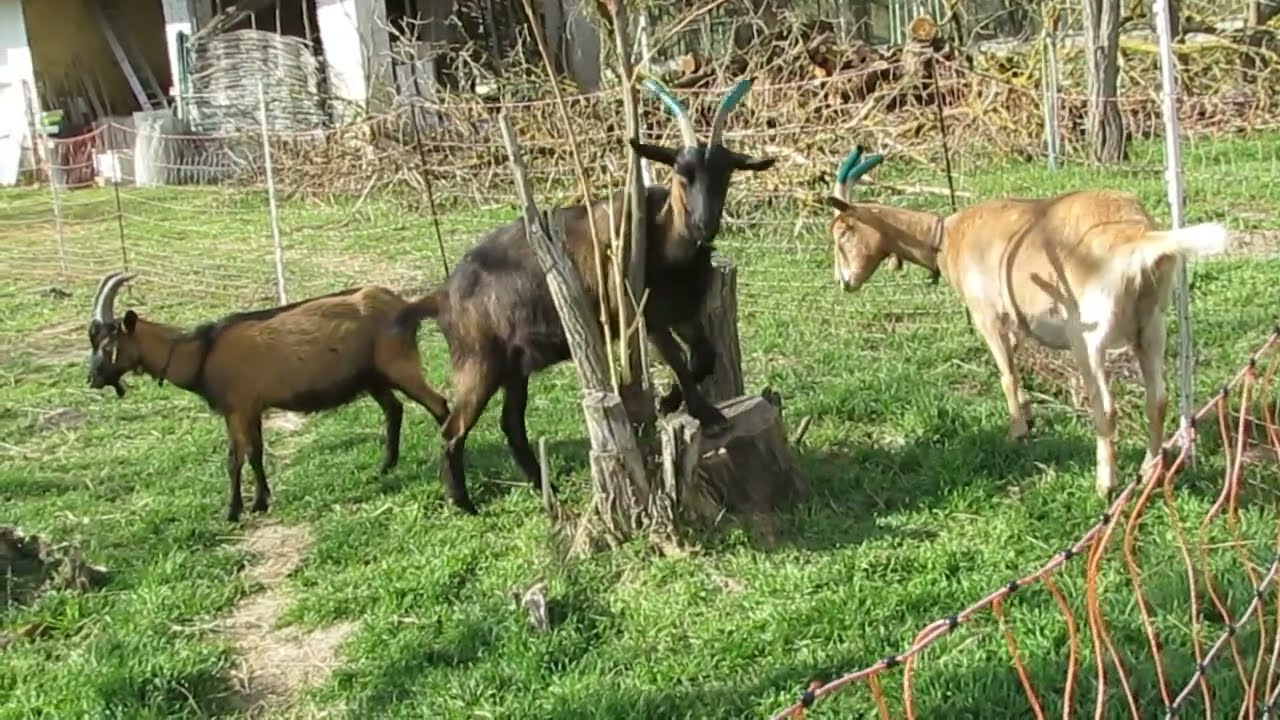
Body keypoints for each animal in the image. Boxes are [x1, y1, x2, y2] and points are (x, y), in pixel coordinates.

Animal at [85, 271, 452, 522]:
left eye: (108, 344)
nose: (92, 379)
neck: (202, 350)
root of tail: (404, 304)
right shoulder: (245, 409)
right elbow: (252, 454)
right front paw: (257, 502)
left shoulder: (240, 407)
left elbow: (238, 457)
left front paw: (235, 510)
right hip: (373, 376)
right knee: (394, 409)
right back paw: (385, 466)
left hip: (399, 365)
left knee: (440, 406)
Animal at [394, 78, 777, 515]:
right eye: (681, 173)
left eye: (727, 173)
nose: (703, 224)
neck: (666, 244)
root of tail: (443, 294)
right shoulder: (641, 317)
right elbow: (681, 362)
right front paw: (705, 413)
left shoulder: (682, 314)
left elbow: (704, 357)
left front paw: (669, 402)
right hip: (477, 360)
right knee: (453, 427)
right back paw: (463, 502)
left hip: (513, 364)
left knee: (511, 423)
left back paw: (541, 486)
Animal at [824, 147, 1231, 499]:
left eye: (843, 231)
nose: (843, 281)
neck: (947, 237)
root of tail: (1138, 238)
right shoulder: (1016, 322)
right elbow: (1018, 365)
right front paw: (1030, 417)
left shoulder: (987, 316)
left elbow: (1007, 374)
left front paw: (1017, 431)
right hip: (1151, 325)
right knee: (1157, 398)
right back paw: (1149, 472)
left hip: (1089, 334)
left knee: (1106, 405)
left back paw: (1106, 484)